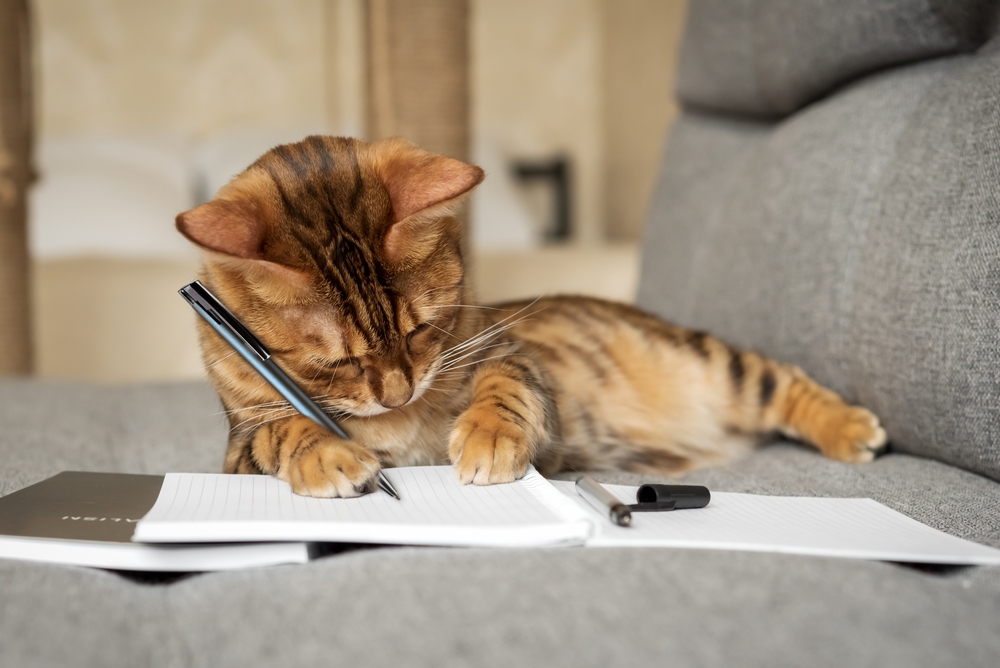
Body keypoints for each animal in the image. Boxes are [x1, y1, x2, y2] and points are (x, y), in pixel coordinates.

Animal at [176, 135, 887, 498]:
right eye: (336, 362)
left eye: (419, 330)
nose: (399, 392)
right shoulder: (239, 446)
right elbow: (280, 431)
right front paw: (328, 453)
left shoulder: (510, 353)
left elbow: (506, 386)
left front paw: (489, 437)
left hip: (713, 364)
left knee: (782, 379)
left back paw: (852, 428)